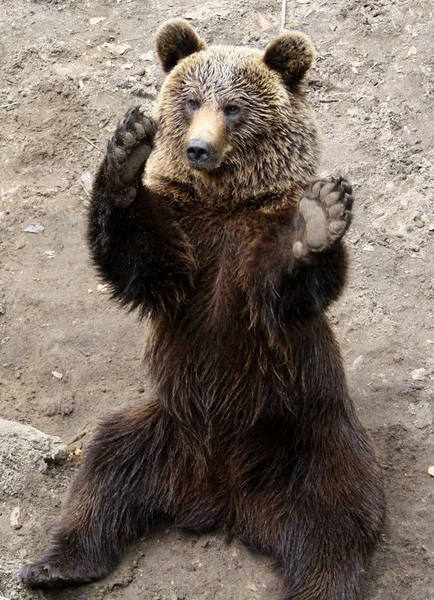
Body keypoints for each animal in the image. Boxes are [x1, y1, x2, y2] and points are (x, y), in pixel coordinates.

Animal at [21, 19, 384, 600]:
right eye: (191, 101)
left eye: (234, 108)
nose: (197, 149)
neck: (226, 202)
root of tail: (220, 498)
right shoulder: (188, 239)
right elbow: (142, 259)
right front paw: (126, 153)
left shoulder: (253, 255)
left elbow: (290, 290)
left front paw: (319, 216)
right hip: (166, 422)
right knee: (105, 470)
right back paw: (56, 563)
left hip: (309, 435)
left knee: (338, 515)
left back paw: (323, 582)